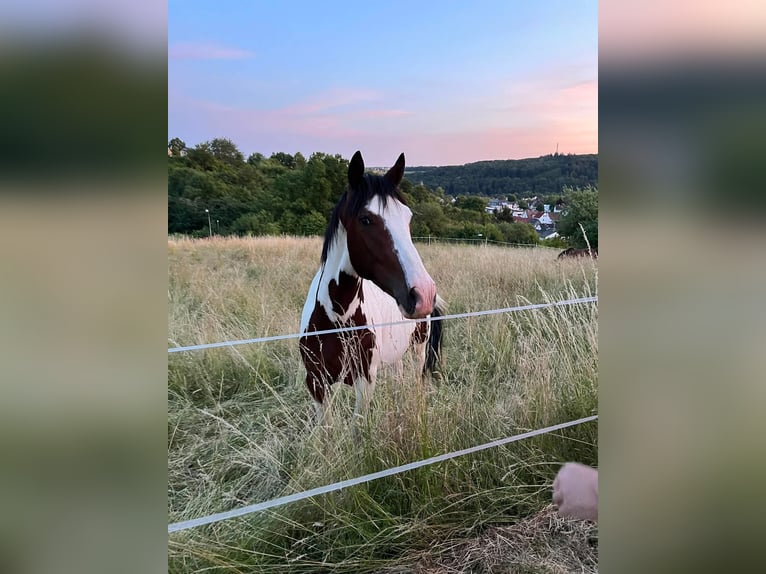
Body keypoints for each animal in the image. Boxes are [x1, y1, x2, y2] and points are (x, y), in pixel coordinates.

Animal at [299, 151, 446, 424]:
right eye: (366, 219)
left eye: (408, 218)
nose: (423, 293)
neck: (335, 319)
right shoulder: (316, 383)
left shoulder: (365, 381)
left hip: (419, 349)